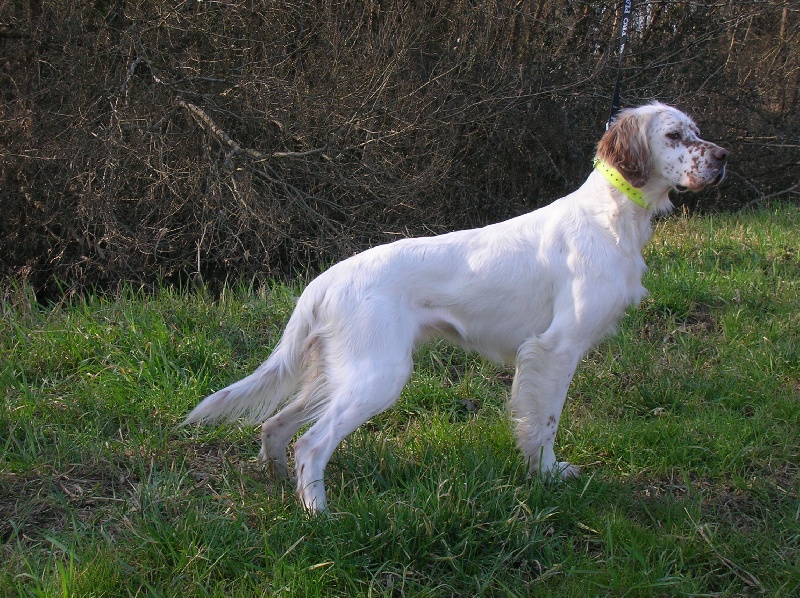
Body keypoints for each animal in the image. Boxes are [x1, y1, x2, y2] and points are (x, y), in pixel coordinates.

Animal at [184, 103, 728, 516]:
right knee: (312, 443)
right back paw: (321, 515)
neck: (612, 216)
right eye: (674, 135)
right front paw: (548, 475)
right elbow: (545, 422)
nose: (723, 156)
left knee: (276, 426)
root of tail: (324, 281)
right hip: (378, 376)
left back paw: (284, 489)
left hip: (336, 373)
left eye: (697, 131)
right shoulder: (556, 348)